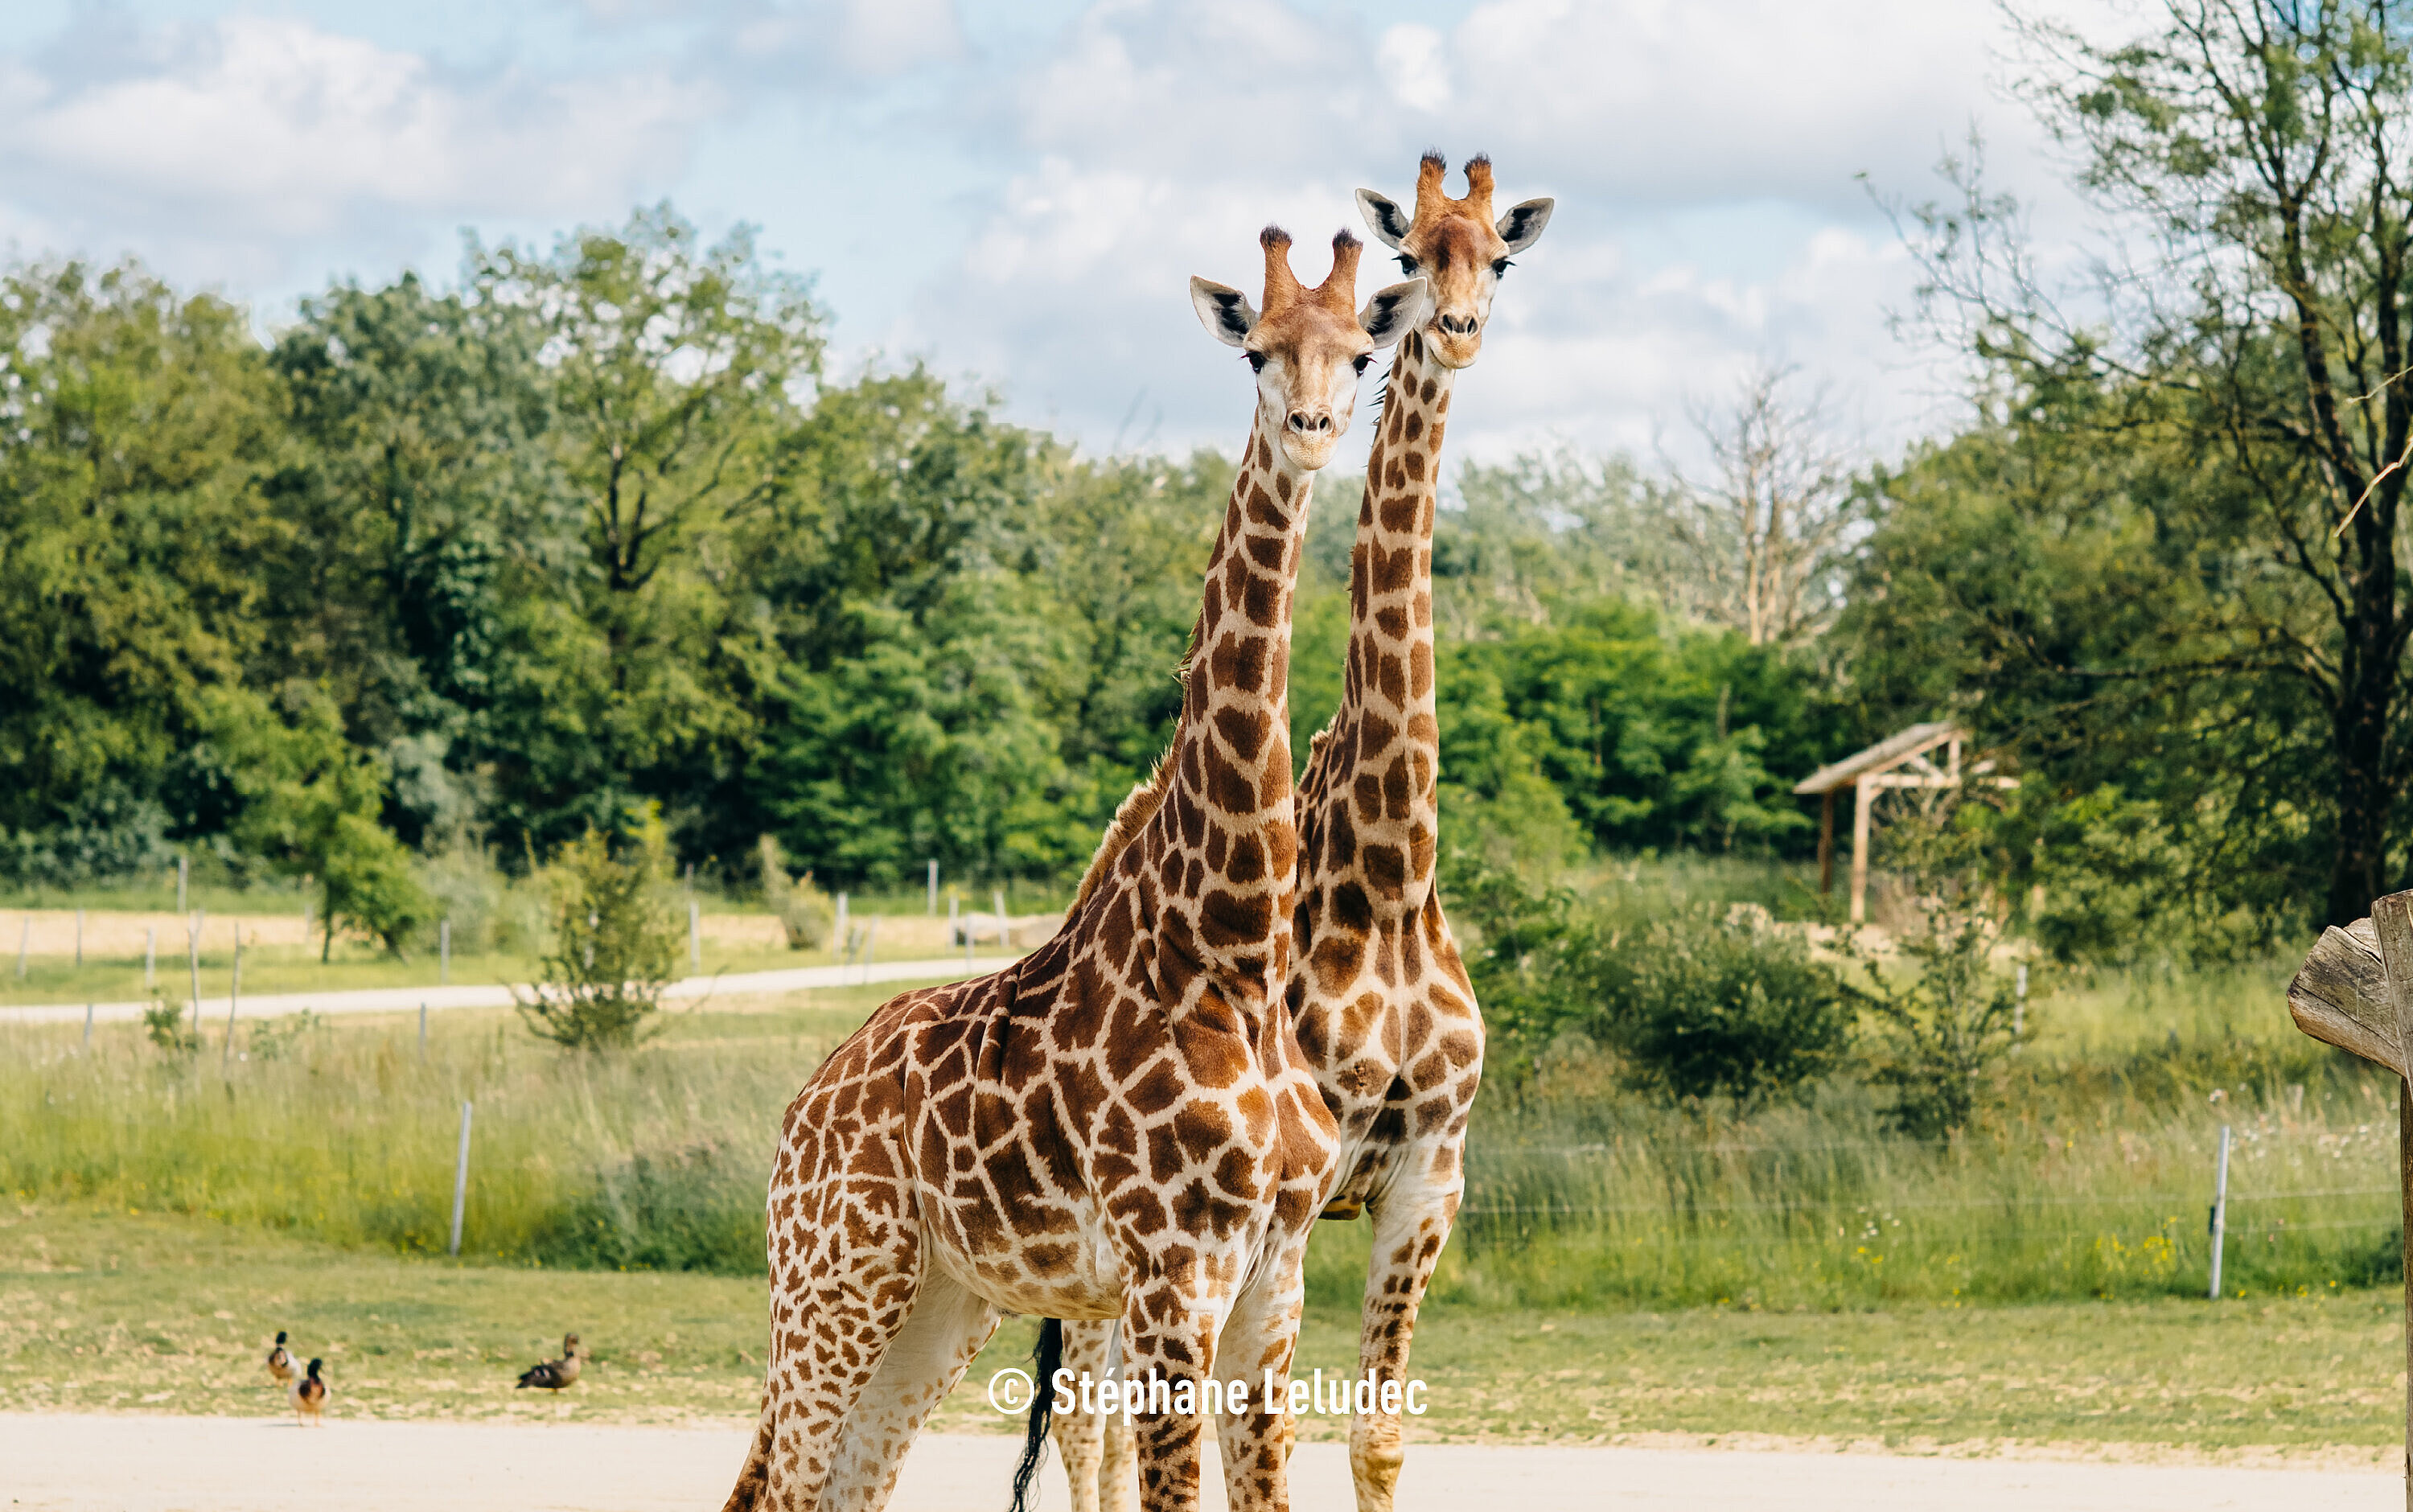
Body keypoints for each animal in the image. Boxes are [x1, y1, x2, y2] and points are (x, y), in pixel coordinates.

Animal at [719, 225, 1429, 1512]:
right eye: (1256, 348)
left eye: (1359, 353)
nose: (1311, 428)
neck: (1235, 952)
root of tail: (805, 1102)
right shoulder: (1173, 1270)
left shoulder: (1277, 1267)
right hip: (834, 1275)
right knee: (789, 1480)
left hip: (941, 1302)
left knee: (853, 1477)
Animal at [1037, 155, 1553, 1512]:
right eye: (1414, 253)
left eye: (1500, 255)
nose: (1456, 329)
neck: (1392, 872)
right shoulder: (1280, 1201)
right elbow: (1234, 1440)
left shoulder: (1429, 1170)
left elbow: (1374, 1434)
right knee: (1091, 1422)